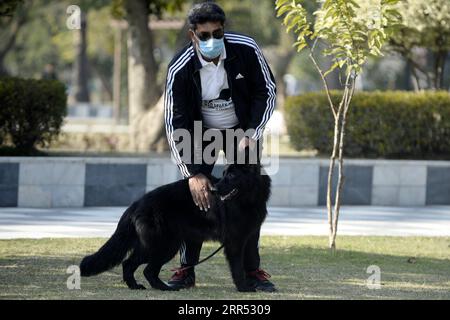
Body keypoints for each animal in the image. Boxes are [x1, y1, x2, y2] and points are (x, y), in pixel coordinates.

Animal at [79, 161, 270, 292]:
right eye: (223, 174)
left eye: (231, 176)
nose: (213, 190)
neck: (249, 199)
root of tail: (137, 203)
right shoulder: (234, 243)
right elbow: (237, 268)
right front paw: (244, 288)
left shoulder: (248, 237)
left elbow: (249, 260)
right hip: (164, 246)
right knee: (142, 268)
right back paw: (163, 288)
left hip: (159, 246)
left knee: (133, 265)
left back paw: (139, 286)